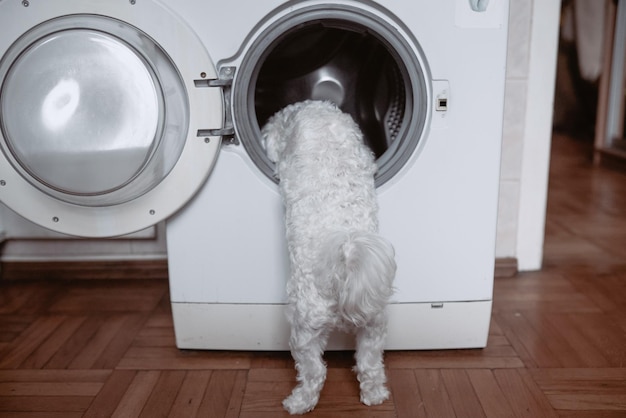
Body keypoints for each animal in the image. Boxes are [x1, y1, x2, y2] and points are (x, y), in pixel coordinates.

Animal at [262, 100, 394, 414]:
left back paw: (298, 402)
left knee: (314, 371)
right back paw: (374, 395)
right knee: (369, 364)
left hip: (304, 328)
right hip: (373, 325)